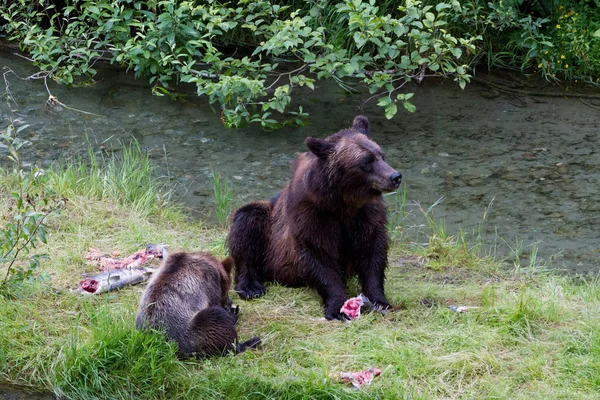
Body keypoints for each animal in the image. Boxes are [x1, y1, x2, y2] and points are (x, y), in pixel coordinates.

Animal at [227, 115, 400, 318]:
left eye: (381, 155)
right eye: (366, 161)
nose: (395, 176)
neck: (343, 201)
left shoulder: (366, 214)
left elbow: (373, 252)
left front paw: (380, 301)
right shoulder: (313, 214)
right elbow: (318, 255)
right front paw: (337, 307)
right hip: (269, 237)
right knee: (248, 220)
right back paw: (251, 286)